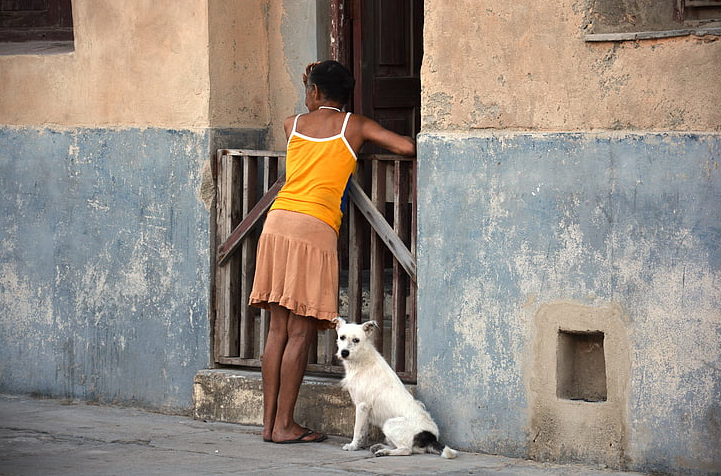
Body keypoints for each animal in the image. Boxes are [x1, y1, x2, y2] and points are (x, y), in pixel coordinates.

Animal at [332, 318, 456, 460]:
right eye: (342, 337)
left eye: (356, 340)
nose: (344, 353)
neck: (362, 360)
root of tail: (431, 437)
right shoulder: (365, 411)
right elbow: (364, 430)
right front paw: (360, 445)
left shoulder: (362, 406)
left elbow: (357, 429)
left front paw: (353, 446)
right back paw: (380, 447)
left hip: (389, 424)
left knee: (406, 450)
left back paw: (384, 452)